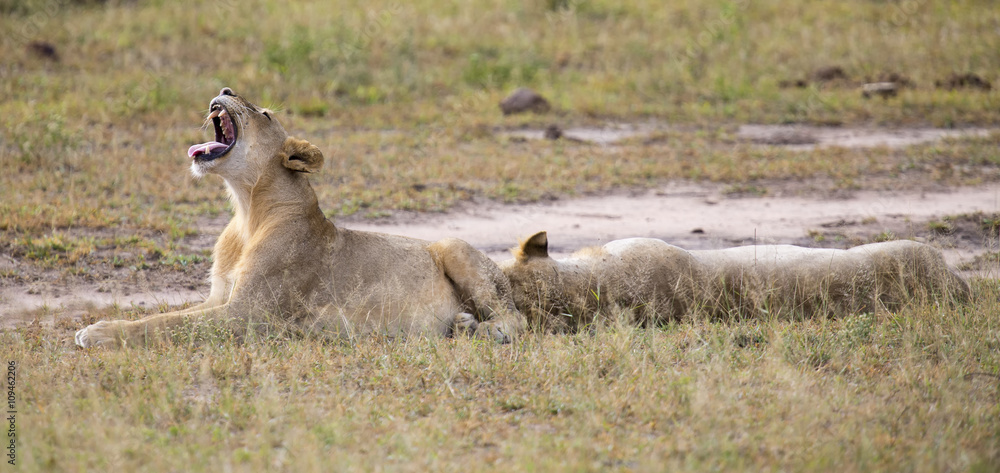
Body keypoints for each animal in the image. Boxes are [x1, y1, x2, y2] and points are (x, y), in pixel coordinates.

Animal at [75, 88, 524, 348]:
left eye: (265, 114)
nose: (225, 89)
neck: (247, 211)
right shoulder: (221, 299)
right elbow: (167, 316)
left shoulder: (248, 314)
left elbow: (163, 325)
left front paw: (98, 332)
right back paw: (462, 324)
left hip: (452, 246)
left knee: (516, 318)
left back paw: (483, 330)